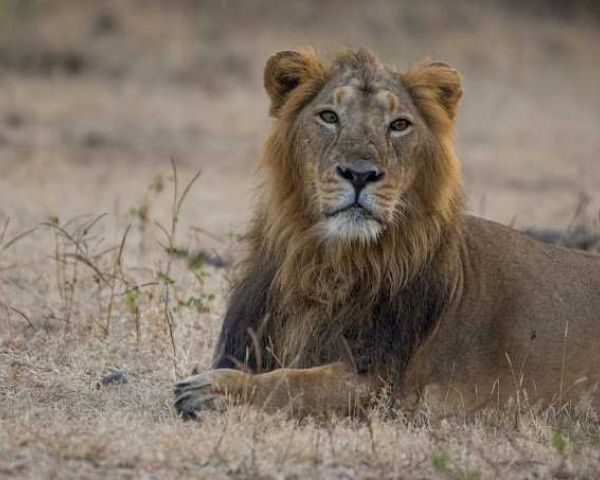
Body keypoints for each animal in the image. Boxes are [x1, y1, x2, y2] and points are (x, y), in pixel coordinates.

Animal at [174, 48, 600, 419]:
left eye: (398, 125)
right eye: (329, 116)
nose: (360, 174)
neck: (327, 263)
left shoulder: (382, 384)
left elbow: (292, 382)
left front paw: (213, 389)